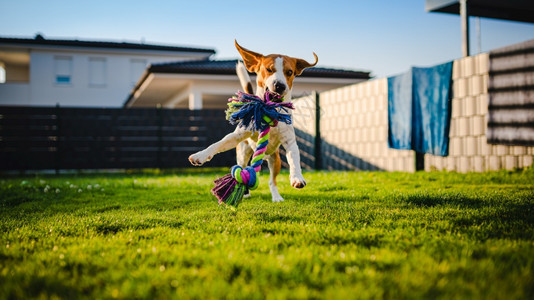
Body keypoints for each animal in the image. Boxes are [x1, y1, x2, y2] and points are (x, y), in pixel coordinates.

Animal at [189, 40, 318, 202]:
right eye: (269, 69)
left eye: (289, 72)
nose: (280, 85)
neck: (268, 111)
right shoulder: (236, 136)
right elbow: (217, 144)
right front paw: (200, 155)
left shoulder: (289, 141)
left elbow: (294, 159)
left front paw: (297, 178)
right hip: (242, 153)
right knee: (242, 168)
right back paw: (244, 192)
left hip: (275, 159)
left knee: (272, 181)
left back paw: (276, 197)